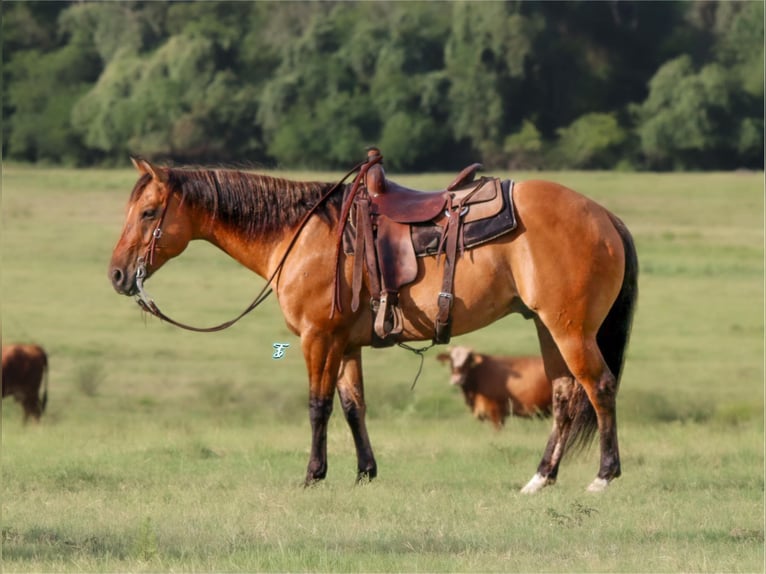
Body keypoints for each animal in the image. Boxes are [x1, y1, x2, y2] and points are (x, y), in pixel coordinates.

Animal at [106, 158, 636, 496]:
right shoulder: (345, 343)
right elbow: (353, 406)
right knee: (565, 397)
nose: (116, 275)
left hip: (570, 330)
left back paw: (604, 476)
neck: (302, 234)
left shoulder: (318, 338)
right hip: (548, 329)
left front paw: (313, 474)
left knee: (601, 387)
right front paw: (365, 472)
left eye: (149, 213)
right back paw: (540, 479)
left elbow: (318, 406)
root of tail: (605, 216)